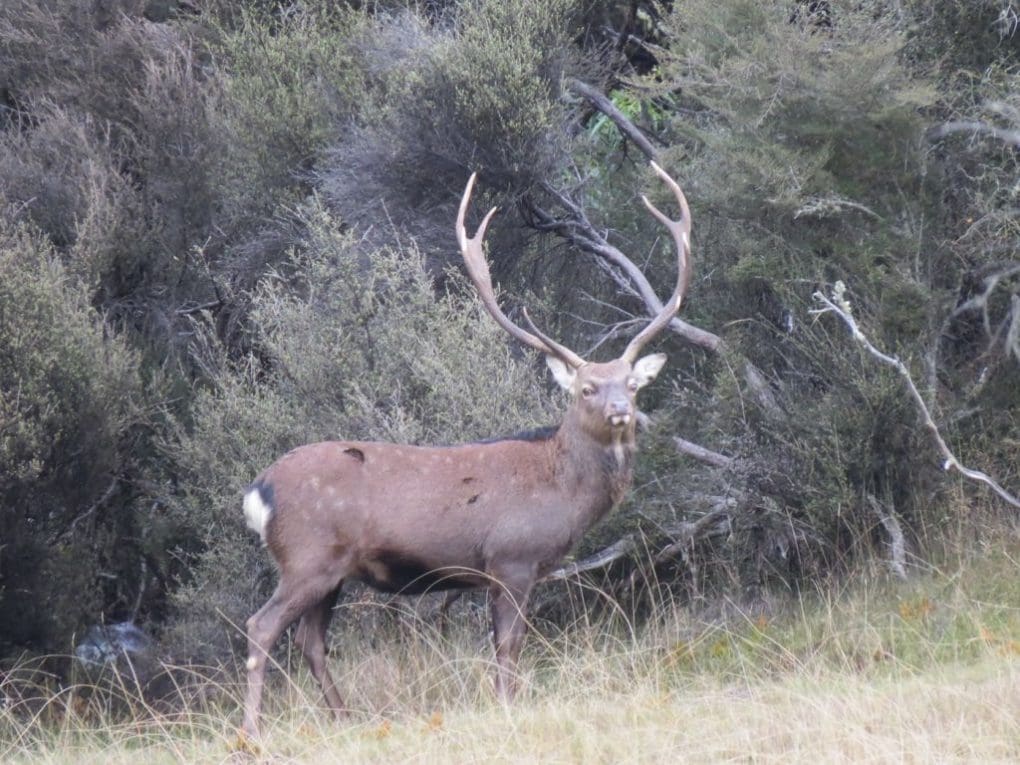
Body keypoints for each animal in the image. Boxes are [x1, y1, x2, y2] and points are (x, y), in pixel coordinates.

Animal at [239, 161, 692, 738]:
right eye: (586, 388)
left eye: (632, 385)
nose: (620, 411)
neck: (561, 491)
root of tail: (259, 491)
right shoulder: (511, 557)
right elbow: (508, 646)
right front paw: (507, 706)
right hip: (306, 555)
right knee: (261, 627)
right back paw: (252, 734)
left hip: (330, 572)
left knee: (311, 641)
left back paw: (345, 721)